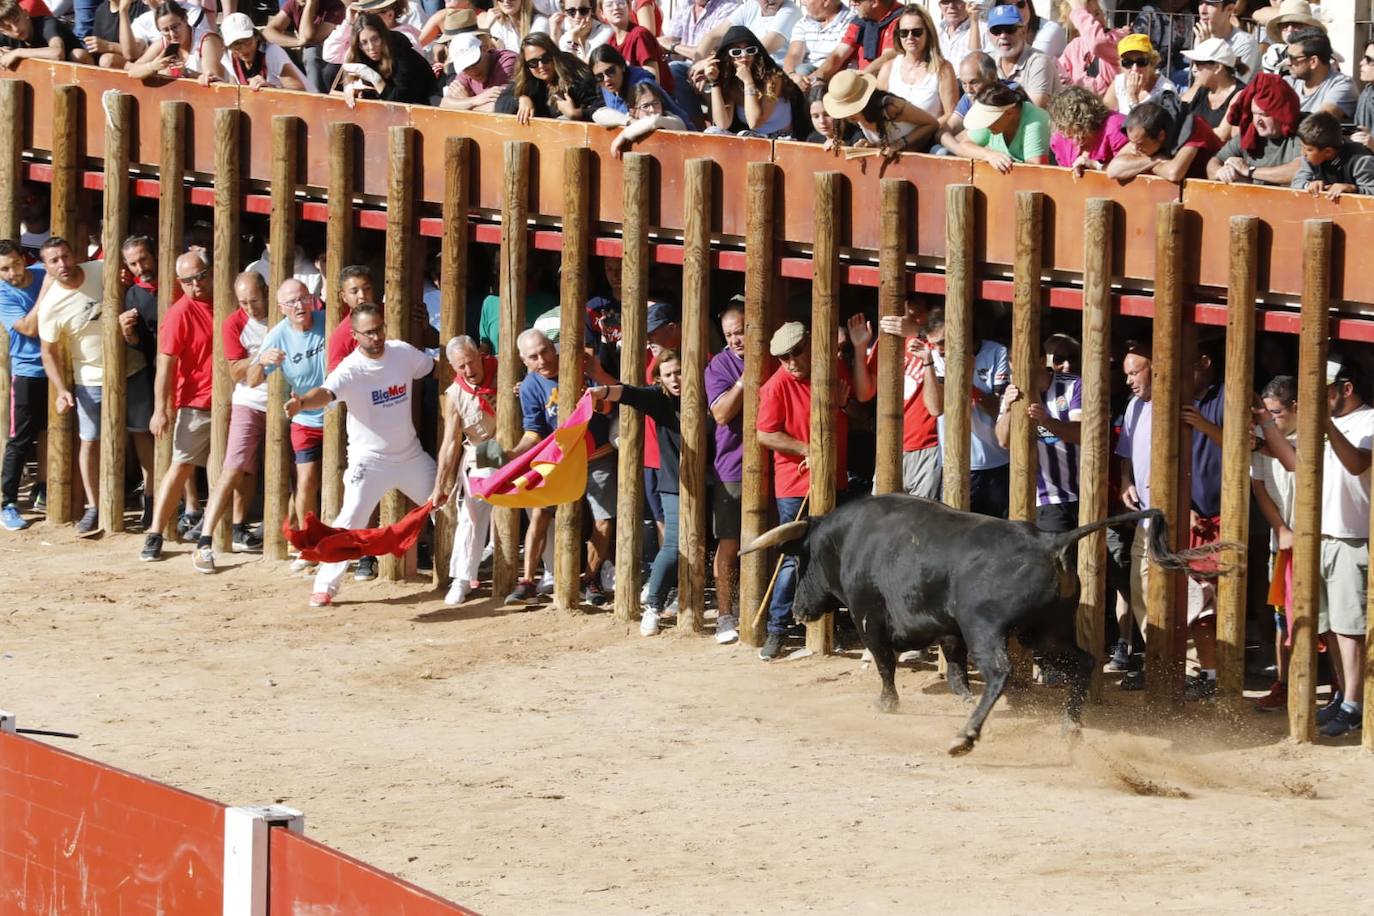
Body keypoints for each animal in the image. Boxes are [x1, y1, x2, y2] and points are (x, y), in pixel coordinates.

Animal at [741, 497, 1236, 758]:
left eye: (800, 559)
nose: (799, 609)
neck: (847, 540)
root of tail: (1050, 540)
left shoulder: (870, 620)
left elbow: (886, 665)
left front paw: (887, 704)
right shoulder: (947, 629)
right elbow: (954, 663)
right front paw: (959, 694)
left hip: (989, 629)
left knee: (1000, 672)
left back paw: (966, 736)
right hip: (1044, 632)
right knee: (1083, 661)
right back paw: (1069, 727)